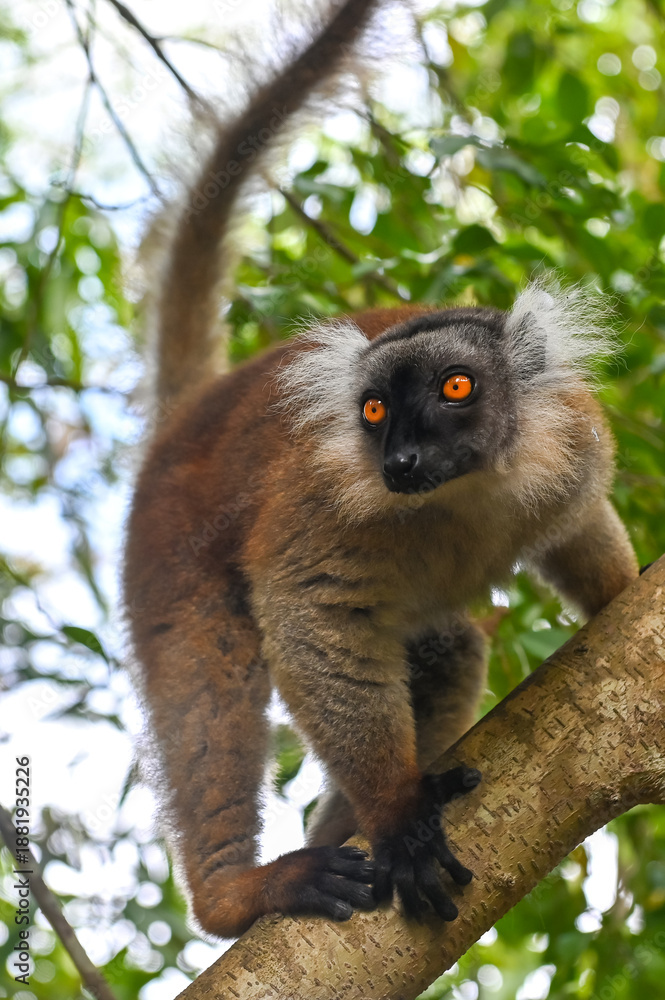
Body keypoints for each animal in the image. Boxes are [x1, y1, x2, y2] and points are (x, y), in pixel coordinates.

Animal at [123, 0, 638, 939]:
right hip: (166, 548)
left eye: (455, 388)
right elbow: (308, 614)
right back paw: (239, 893)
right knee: (209, 674)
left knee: (446, 652)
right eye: (371, 412)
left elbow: (581, 531)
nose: (399, 460)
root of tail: (191, 416)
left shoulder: (570, 445)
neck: (466, 491)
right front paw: (398, 818)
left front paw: (623, 601)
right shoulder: (325, 504)